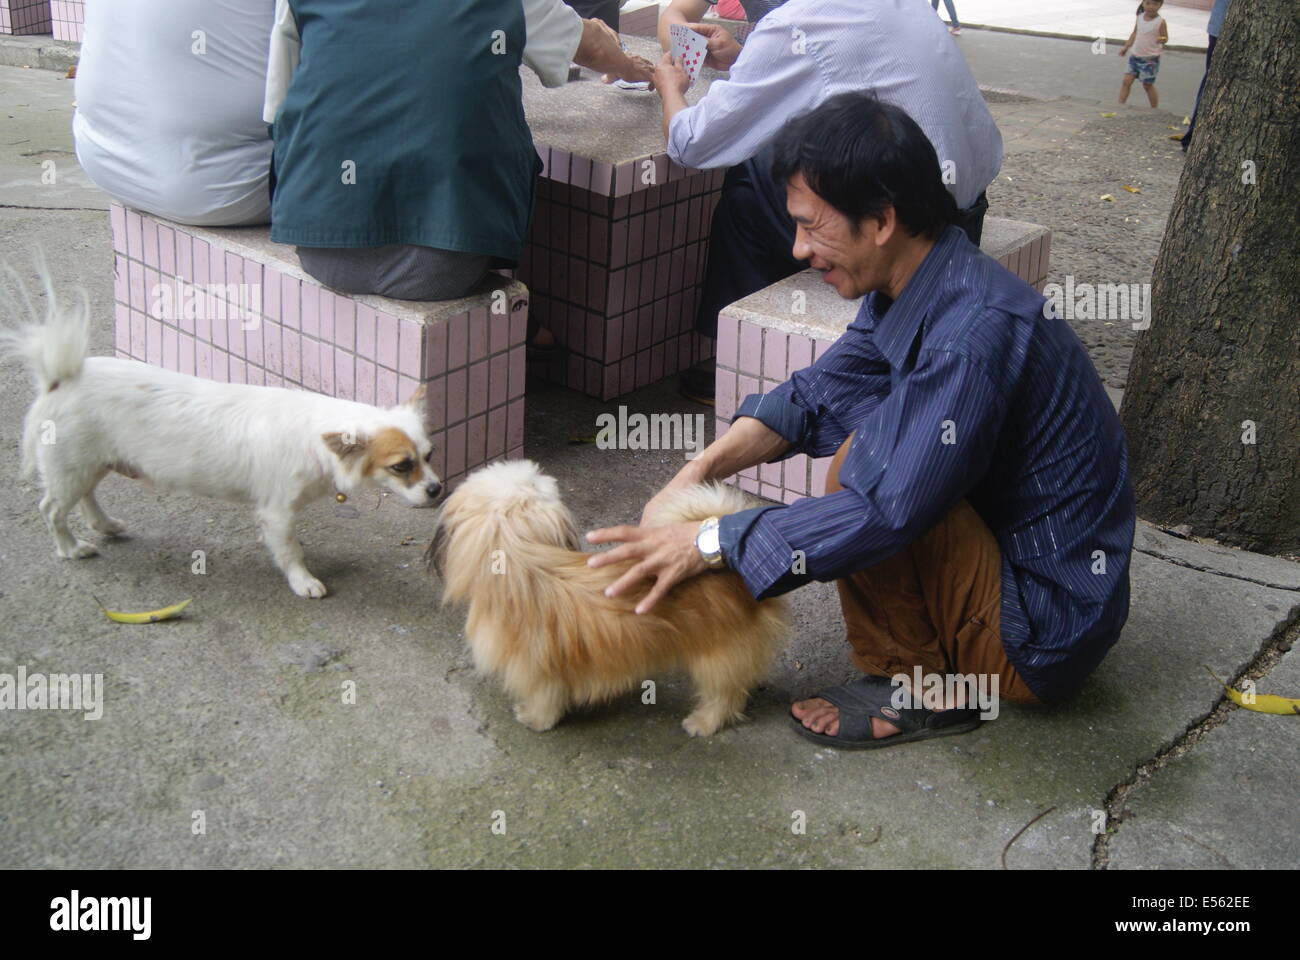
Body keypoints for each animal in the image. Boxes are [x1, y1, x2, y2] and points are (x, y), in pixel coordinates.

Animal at [1, 261, 441, 590]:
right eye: (401, 466)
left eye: (430, 456)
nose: (437, 490)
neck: (316, 439)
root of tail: (61, 378)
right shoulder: (277, 511)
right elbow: (289, 550)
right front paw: (302, 581)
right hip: (70, 469)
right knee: (52, 509)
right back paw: (71, 548)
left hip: (89, 464)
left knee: (87, 498)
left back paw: (105, 526)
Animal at [431, 455, 785, 733]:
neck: (524, 567)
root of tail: (732, 562)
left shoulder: (537, 672)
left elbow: (545, 700)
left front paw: (534, 719)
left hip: (719, 658)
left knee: (726, 695)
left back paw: (703, 723)